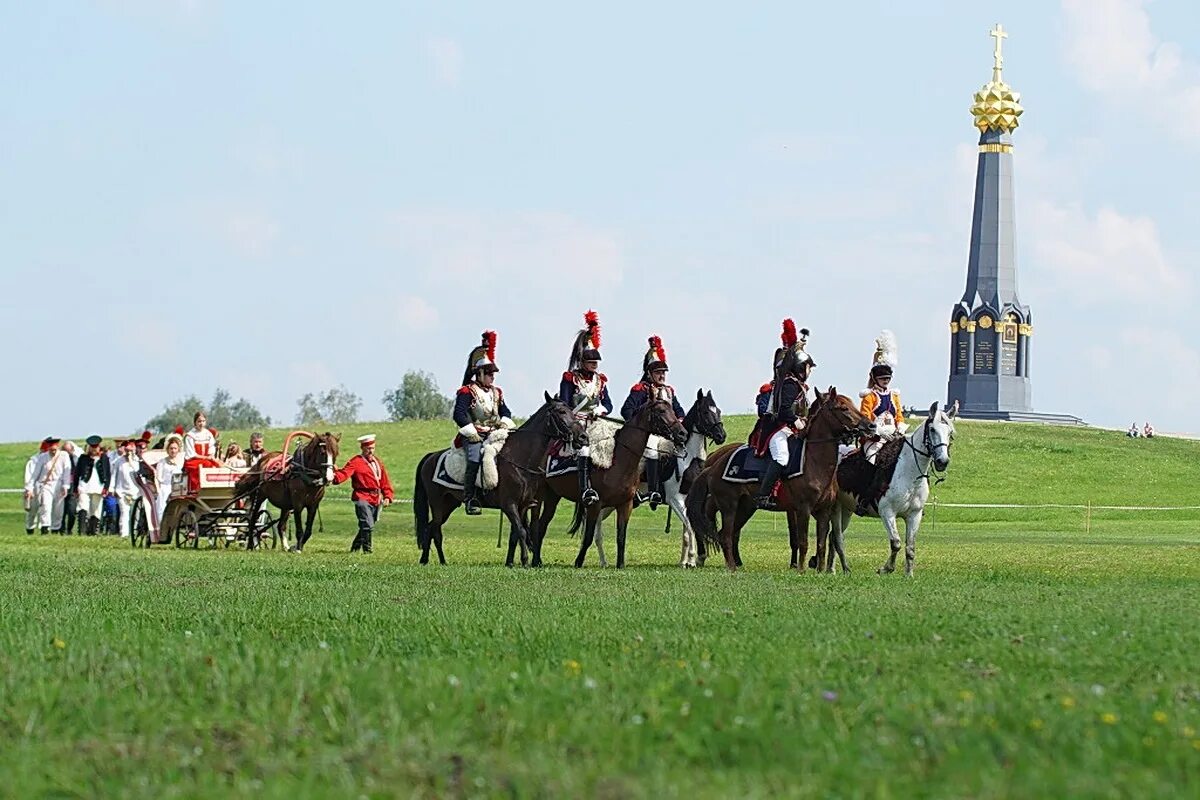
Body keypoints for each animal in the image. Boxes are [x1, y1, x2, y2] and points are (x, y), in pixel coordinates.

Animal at [412, 393, 580, 568]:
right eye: (561, 412)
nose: (582, 436)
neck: (520, 458)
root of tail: (431, 456)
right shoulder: (509, 504)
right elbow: (521, 531)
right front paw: (525, 561)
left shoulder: (522, 505)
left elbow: (515, 534)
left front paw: (510, 563)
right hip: (437, 503)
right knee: (433, 529)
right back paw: (427, 560)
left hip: (448, 504)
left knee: (432, 528)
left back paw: (438, 561)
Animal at [532, 400, 691, 568]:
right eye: (661, 411)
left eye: (672, 410)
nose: (683, 433)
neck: (619, 460)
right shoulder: (595, 505)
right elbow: (588, 536)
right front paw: (578, 562)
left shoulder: (625, 505)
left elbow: (621, 537)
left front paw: (620, 564)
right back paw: (535, 560)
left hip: (553, 495)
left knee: (542, 525)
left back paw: (537, 560)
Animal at [580, 388, 720, 568]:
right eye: (705, 412)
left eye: (718, 411)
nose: (721, 435)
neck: (687, 460)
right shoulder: (675, 500)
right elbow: (690, 526)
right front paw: (691, 559)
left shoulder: (689, 500)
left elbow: (687, 531)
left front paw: (685, 561)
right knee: (596, 526)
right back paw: (601, 559)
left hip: (610, 504)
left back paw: (603, 561)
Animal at [686, 386, 873, 568]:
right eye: (843, 408)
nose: (870, 426)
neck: (813, 461)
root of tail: (713, 466)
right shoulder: (803, 509)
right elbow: (803, 542)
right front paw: (801, 570)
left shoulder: (824, 511)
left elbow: (821, 544)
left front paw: (819, 571)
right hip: (729, 507)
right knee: (724, 535)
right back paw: (730, 567)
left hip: (745, 507)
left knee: (728, 534)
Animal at [825, 400, 955, 575]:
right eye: (932, 429)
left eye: (950, 432)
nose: (942, 461)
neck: (909, 471)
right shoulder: (887, 512)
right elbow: (896, 543)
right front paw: (886, 568)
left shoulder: (914, 515)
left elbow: (910, 547)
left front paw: (909, 574)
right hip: (836, 508)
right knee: (837, 536)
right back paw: (840, 570)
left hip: (847, 509)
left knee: (833, 536)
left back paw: (831, 569)